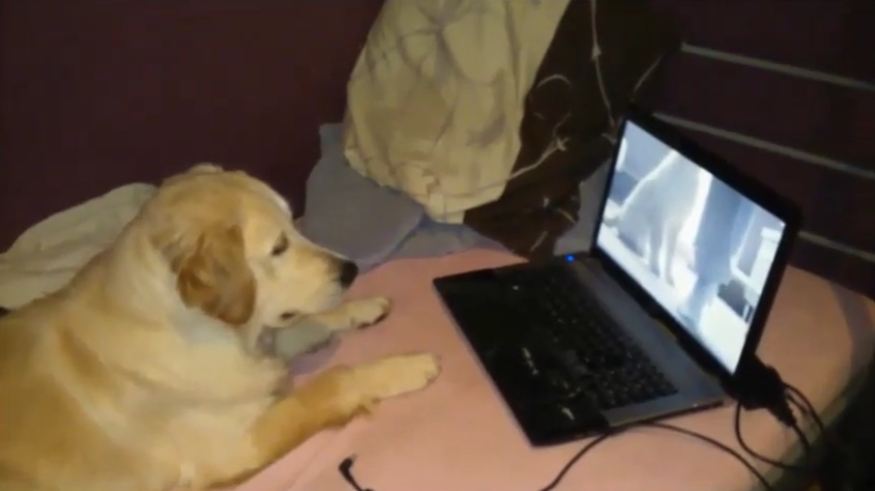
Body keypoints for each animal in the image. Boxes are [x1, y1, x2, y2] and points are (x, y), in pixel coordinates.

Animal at [0, 166, 442, 491]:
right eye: (278, 248)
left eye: (294, 225)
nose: (351, 270)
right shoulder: (234, 447)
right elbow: (330, 382)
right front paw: (405, 366)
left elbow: (301, 324)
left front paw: (360, 309)